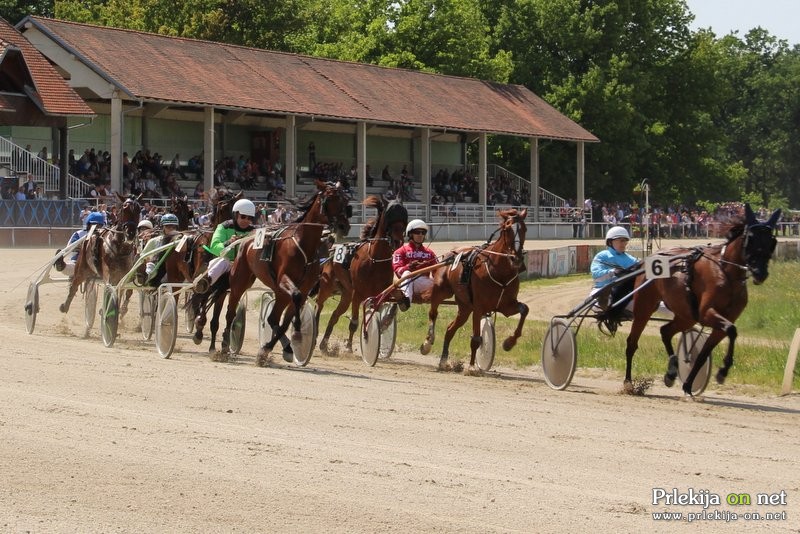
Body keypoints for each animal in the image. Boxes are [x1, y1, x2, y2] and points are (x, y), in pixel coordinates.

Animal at [219, 182, 350, 366]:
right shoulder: (284, 280)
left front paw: (269, 349)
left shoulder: (304, 288)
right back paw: (224, 345)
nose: (344, 226)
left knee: (272, 318)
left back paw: (281, 347)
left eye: (345, 200)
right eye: (329, 199)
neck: (304, 245)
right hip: (240, 280)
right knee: (231, 312)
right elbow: (295, 298)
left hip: (280, 293)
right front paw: (297, 332)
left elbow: (286, 319)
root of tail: (246, 239)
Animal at [316, 197, 410, 356]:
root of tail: (331, 254)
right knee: (319, 304)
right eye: (389, 214)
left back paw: (324, 344)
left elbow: (398, 300)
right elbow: (354, 322)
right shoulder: (358, 294)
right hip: (328, 287)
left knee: (334, 315)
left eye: (403, 214)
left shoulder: (380, 292)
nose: (398, 241)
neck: (375, 260)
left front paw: (386, 321)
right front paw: (349, 346)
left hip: (346, 295)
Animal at [422, 207, 528, 374]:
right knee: (433, 312)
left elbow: (525, 310)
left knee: (450, 329)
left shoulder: (506, 306)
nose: (516, 258)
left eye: (524, 229)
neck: (498, 271)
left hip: (465, 307)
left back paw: (443, 361)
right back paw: (428, 342)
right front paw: (472, 367)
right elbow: (476, 339)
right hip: (442, 290)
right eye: (507, 229)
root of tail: (450, 254)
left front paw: (509, 343)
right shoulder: (478, 307)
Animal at [620, 205, 780, 398]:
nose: (760, 273)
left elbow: (706, 352)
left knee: (665, 331)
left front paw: (689, 385)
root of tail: (647, 260)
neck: (726, 273)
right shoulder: (707, 313)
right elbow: (731, 330)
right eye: (750, 239)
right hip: (644, 307)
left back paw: (671, 372)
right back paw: (629, 383)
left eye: (772, 242)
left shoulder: (721, 319)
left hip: (686, 315)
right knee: (632, 343)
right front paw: (723, 371)